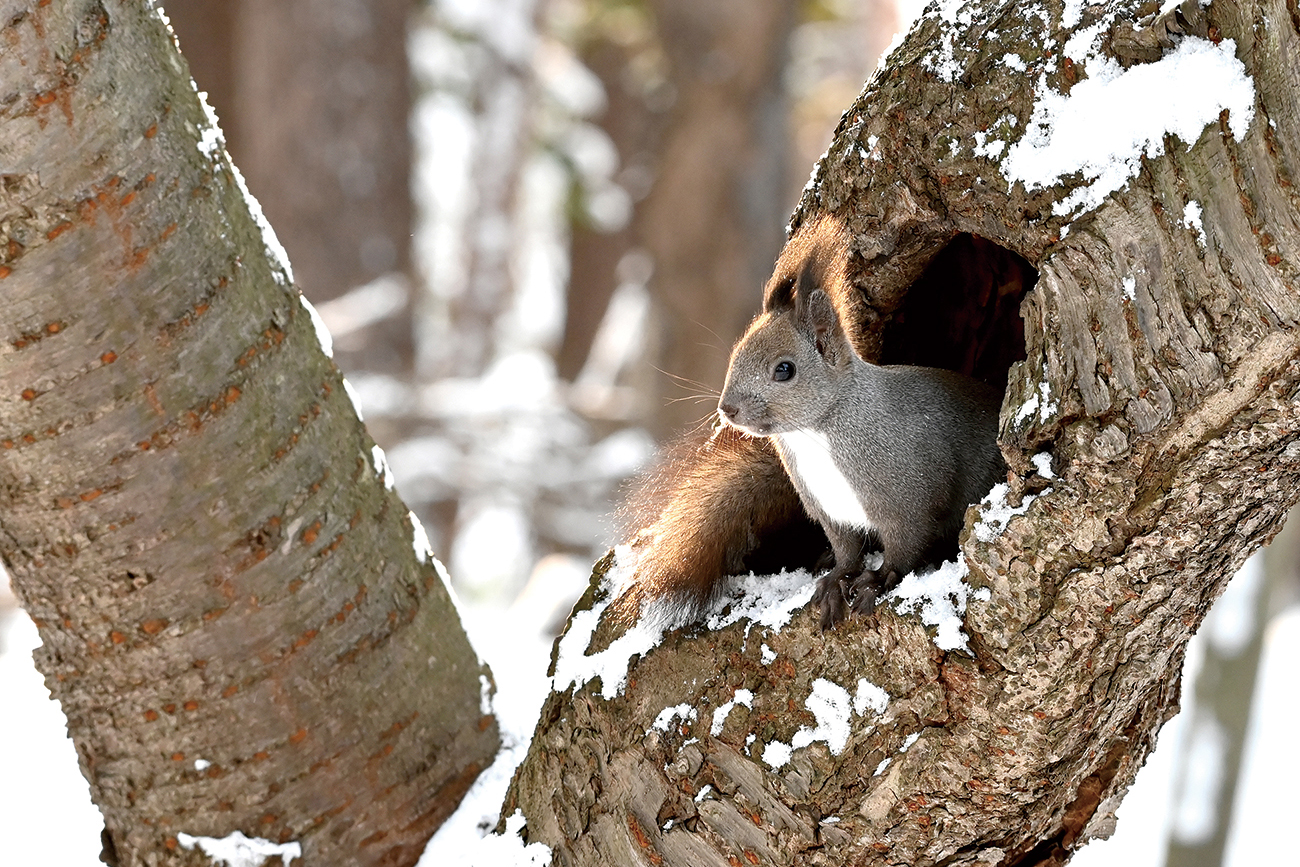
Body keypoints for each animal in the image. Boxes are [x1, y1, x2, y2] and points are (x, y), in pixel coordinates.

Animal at [608, 213, 1003, 626]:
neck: (815, 436)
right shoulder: (831, 512)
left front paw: (877, 581)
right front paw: (835, 579)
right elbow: (847, 551)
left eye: (785, 369)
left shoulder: (909, 498)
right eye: (737, 352)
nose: (727, 409)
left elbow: (905, 550)